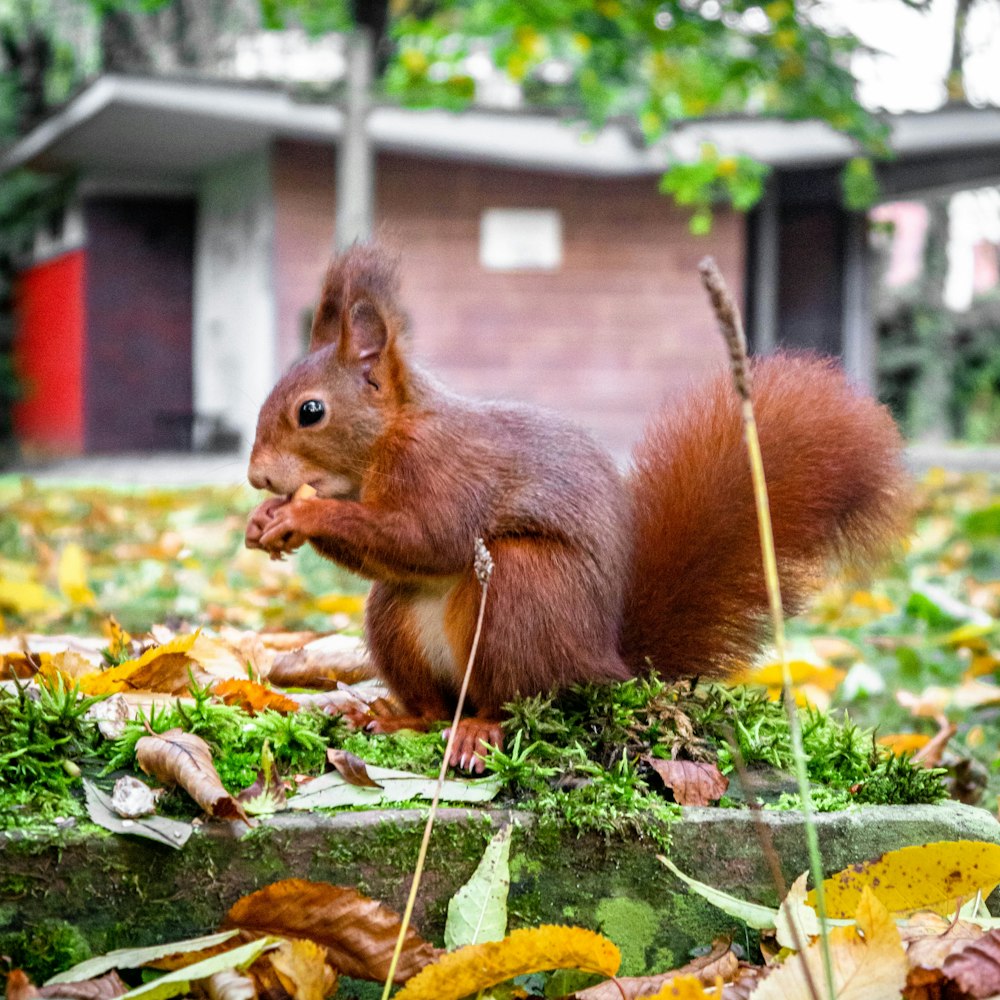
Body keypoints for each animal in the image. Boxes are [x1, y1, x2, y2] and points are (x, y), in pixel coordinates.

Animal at [246, 244, 912, 772]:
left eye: (311, 411)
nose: (256, 477)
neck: (388, 438)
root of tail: (603, 660)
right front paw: (263, 522)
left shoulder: (443, 470)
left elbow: (427, 538)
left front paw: (300, 516)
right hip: (395, 617)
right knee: (434, 705)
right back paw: (399, 717)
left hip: (521, 591)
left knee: (510, 700)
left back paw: (479, 730)